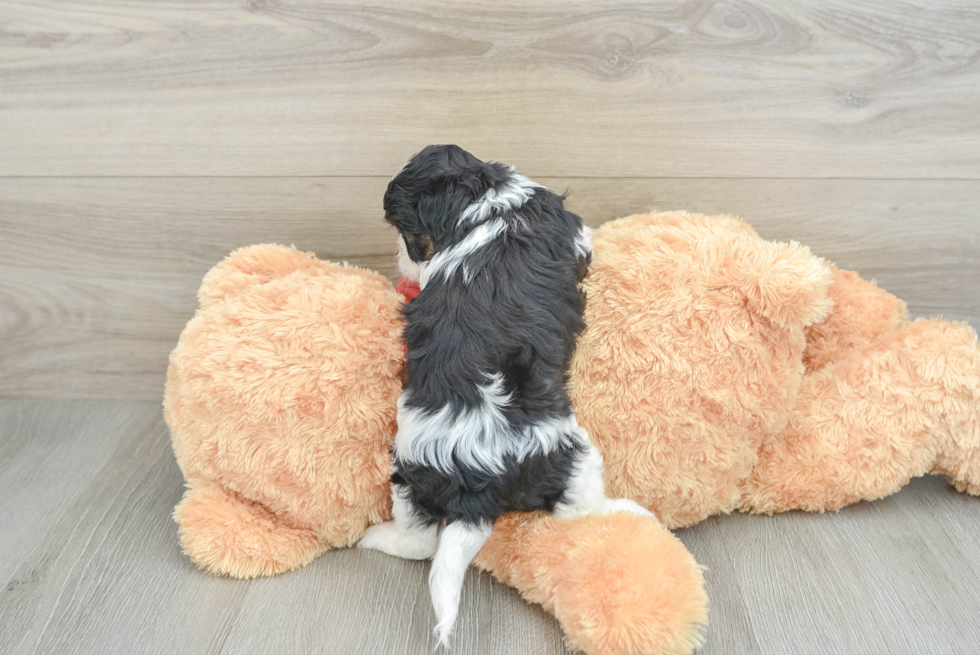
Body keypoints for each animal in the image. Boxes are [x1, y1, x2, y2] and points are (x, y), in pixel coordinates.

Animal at [360, 146, 652, 648]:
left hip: (410, 471)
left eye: (412, 238)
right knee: (576, 508)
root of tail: (477, 479)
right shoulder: (575, 234)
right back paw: (629, 510)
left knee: (420, 541)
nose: (402, 262)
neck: (489, 203)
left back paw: (376, 538)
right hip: (569, 453)